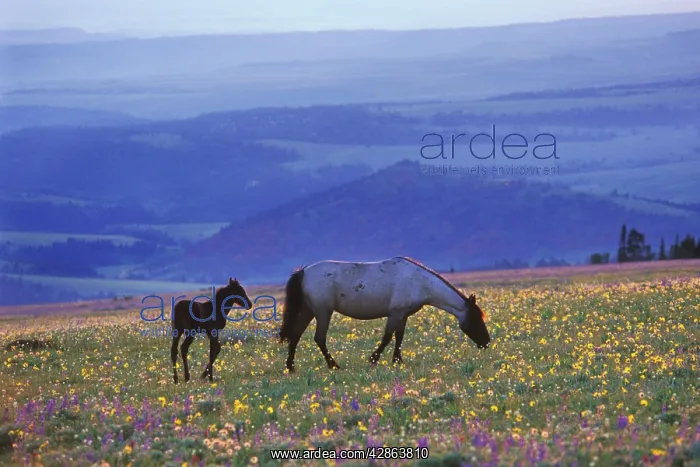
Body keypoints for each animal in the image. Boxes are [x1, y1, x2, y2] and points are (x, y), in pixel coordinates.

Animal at [279, 256, 490, 372]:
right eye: (476, 319)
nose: (486, 342)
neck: (419, 282)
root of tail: (304, 272)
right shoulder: (395, 313)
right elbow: (388, 337)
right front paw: (373, 359)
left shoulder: (403, 315)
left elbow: (399, 337)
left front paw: (397, 361)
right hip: (323, 312)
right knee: (319, 338)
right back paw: (334, 366)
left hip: (309, 311)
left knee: (296, 335)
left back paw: (290, 367)